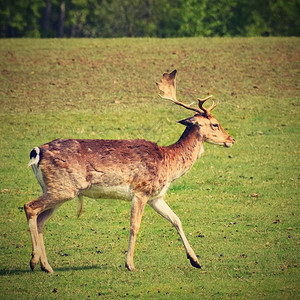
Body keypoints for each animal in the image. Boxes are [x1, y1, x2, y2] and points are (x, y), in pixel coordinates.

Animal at [24, 69, 234, 272]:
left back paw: (47, 266)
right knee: (30, 207)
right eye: (215, 124)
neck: (168, 164)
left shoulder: (156, 196)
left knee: (41, 220)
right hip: (62, 187)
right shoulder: (141, 191)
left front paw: (195, 260)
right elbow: (135, 226)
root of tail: (36, 152)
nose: (231, 139)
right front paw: (130, 264)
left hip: (55, 189)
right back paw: (34, 260)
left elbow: (176, 220)